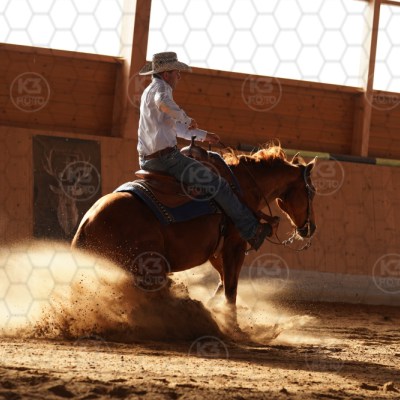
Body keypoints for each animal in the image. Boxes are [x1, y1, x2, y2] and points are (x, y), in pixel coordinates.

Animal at [71, 144, 317, 308]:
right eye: (312, 191)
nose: (311, 228)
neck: (243, 187)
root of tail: (88, 222)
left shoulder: (216, 252)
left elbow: (223, 284)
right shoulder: (234, 247)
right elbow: (230, 290)